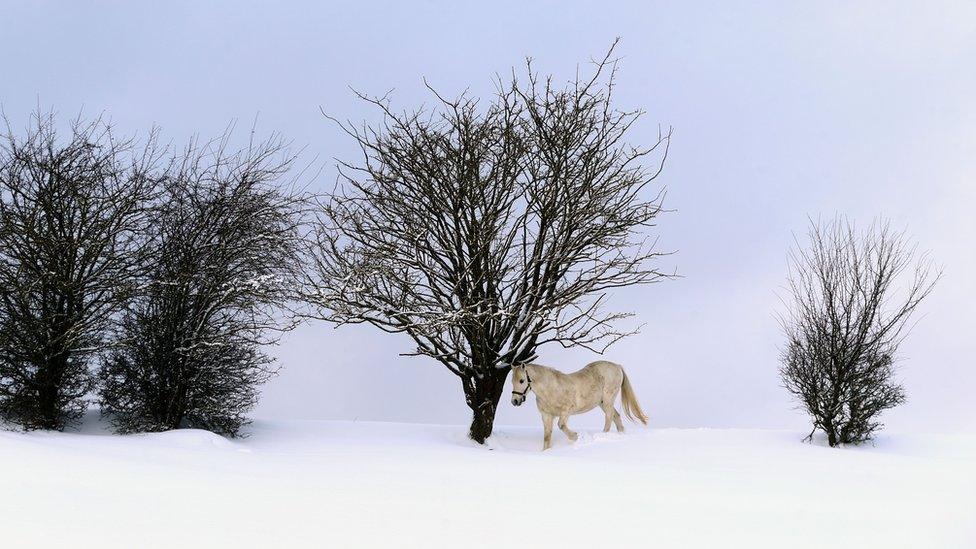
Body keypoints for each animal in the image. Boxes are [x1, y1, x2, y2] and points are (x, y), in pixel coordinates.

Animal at [510, 360, 648, 450]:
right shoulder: (546, 416)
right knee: (616, 416)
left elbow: (561, 425)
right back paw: (620, 435)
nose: (514, 401)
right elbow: (547, 437)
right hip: (602, 403)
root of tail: (617, 366)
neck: (551, 389)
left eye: (522, 380)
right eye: (512, 381)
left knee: (609, 417)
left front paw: (576, 437)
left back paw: (603, 436)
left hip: (608, 399)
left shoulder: (566, 411)